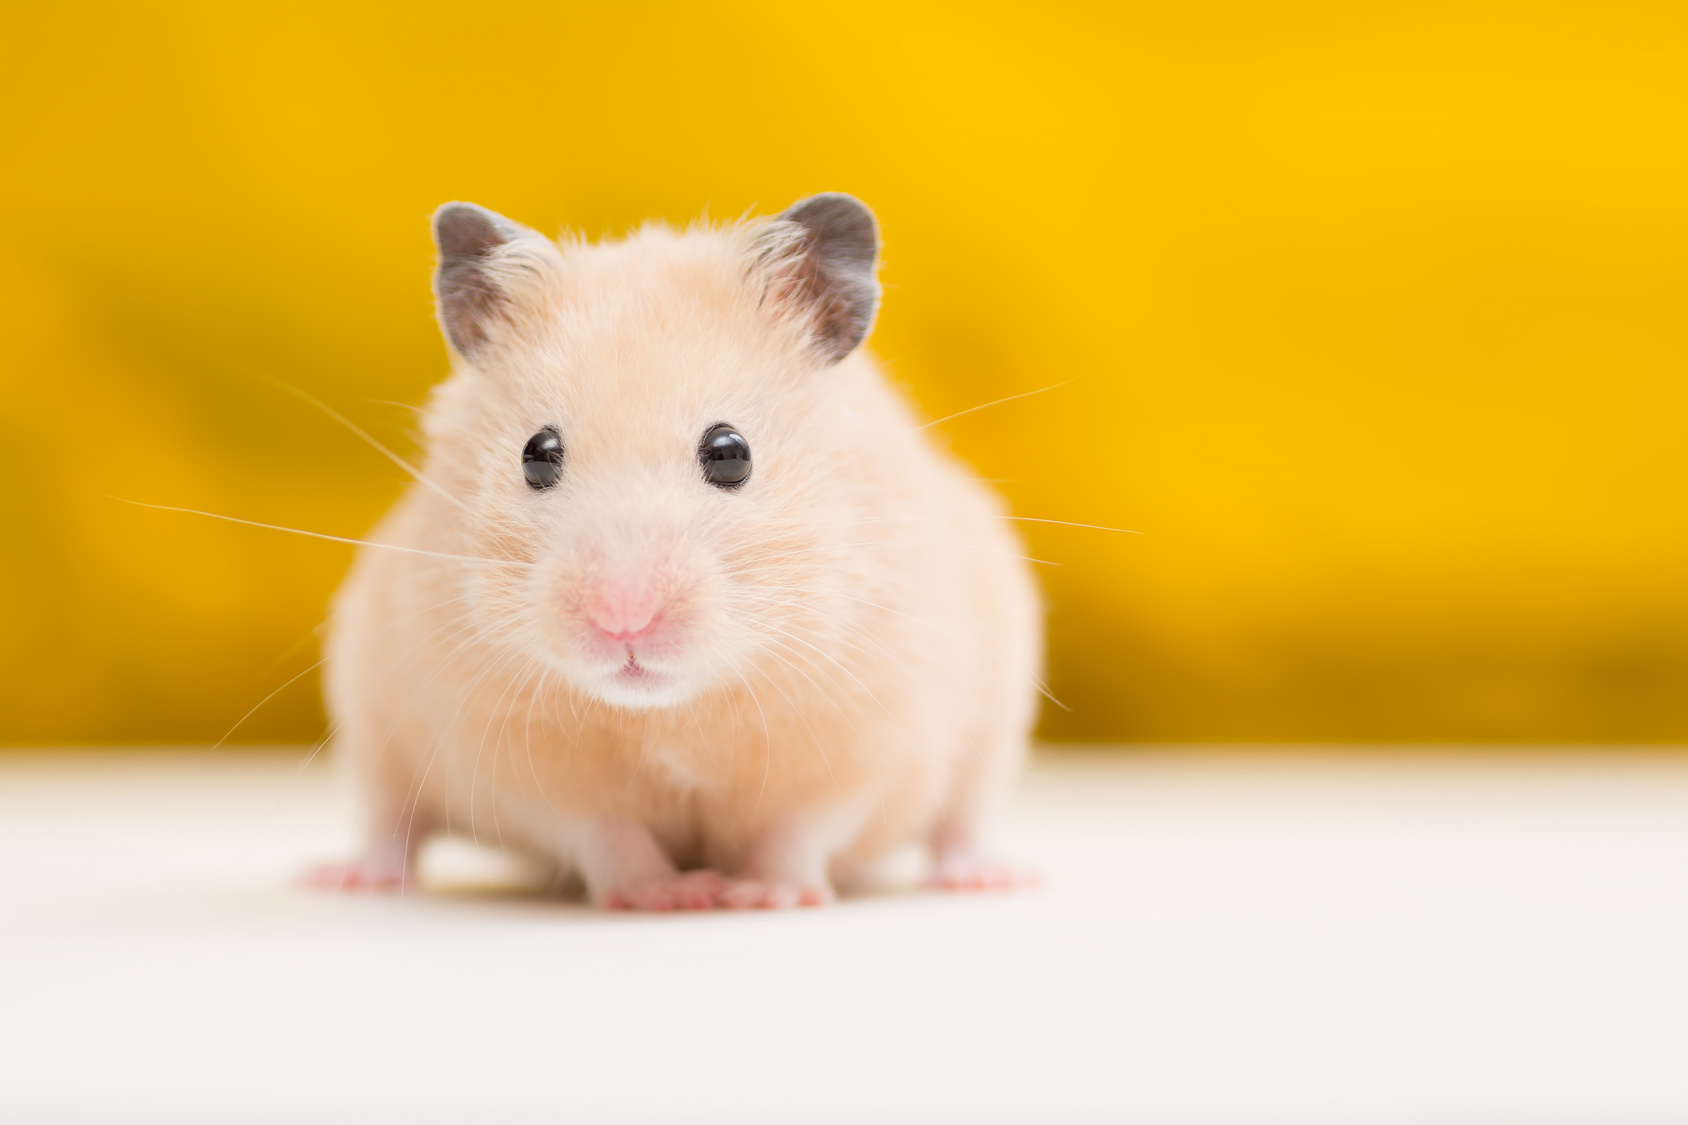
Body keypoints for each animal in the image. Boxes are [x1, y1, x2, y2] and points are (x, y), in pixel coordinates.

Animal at [305, 192, 1039, 905]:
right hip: (371, 717)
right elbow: (605, 831)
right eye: (536, 454)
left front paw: (762, 895)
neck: (673, 710)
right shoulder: (513, 760)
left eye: (730, 452)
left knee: (961, 819)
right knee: (392, 818)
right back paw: (348, 877)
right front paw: (672, 896)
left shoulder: (872, 737)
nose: (623, 620)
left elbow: (800, 827)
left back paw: (985, 877)